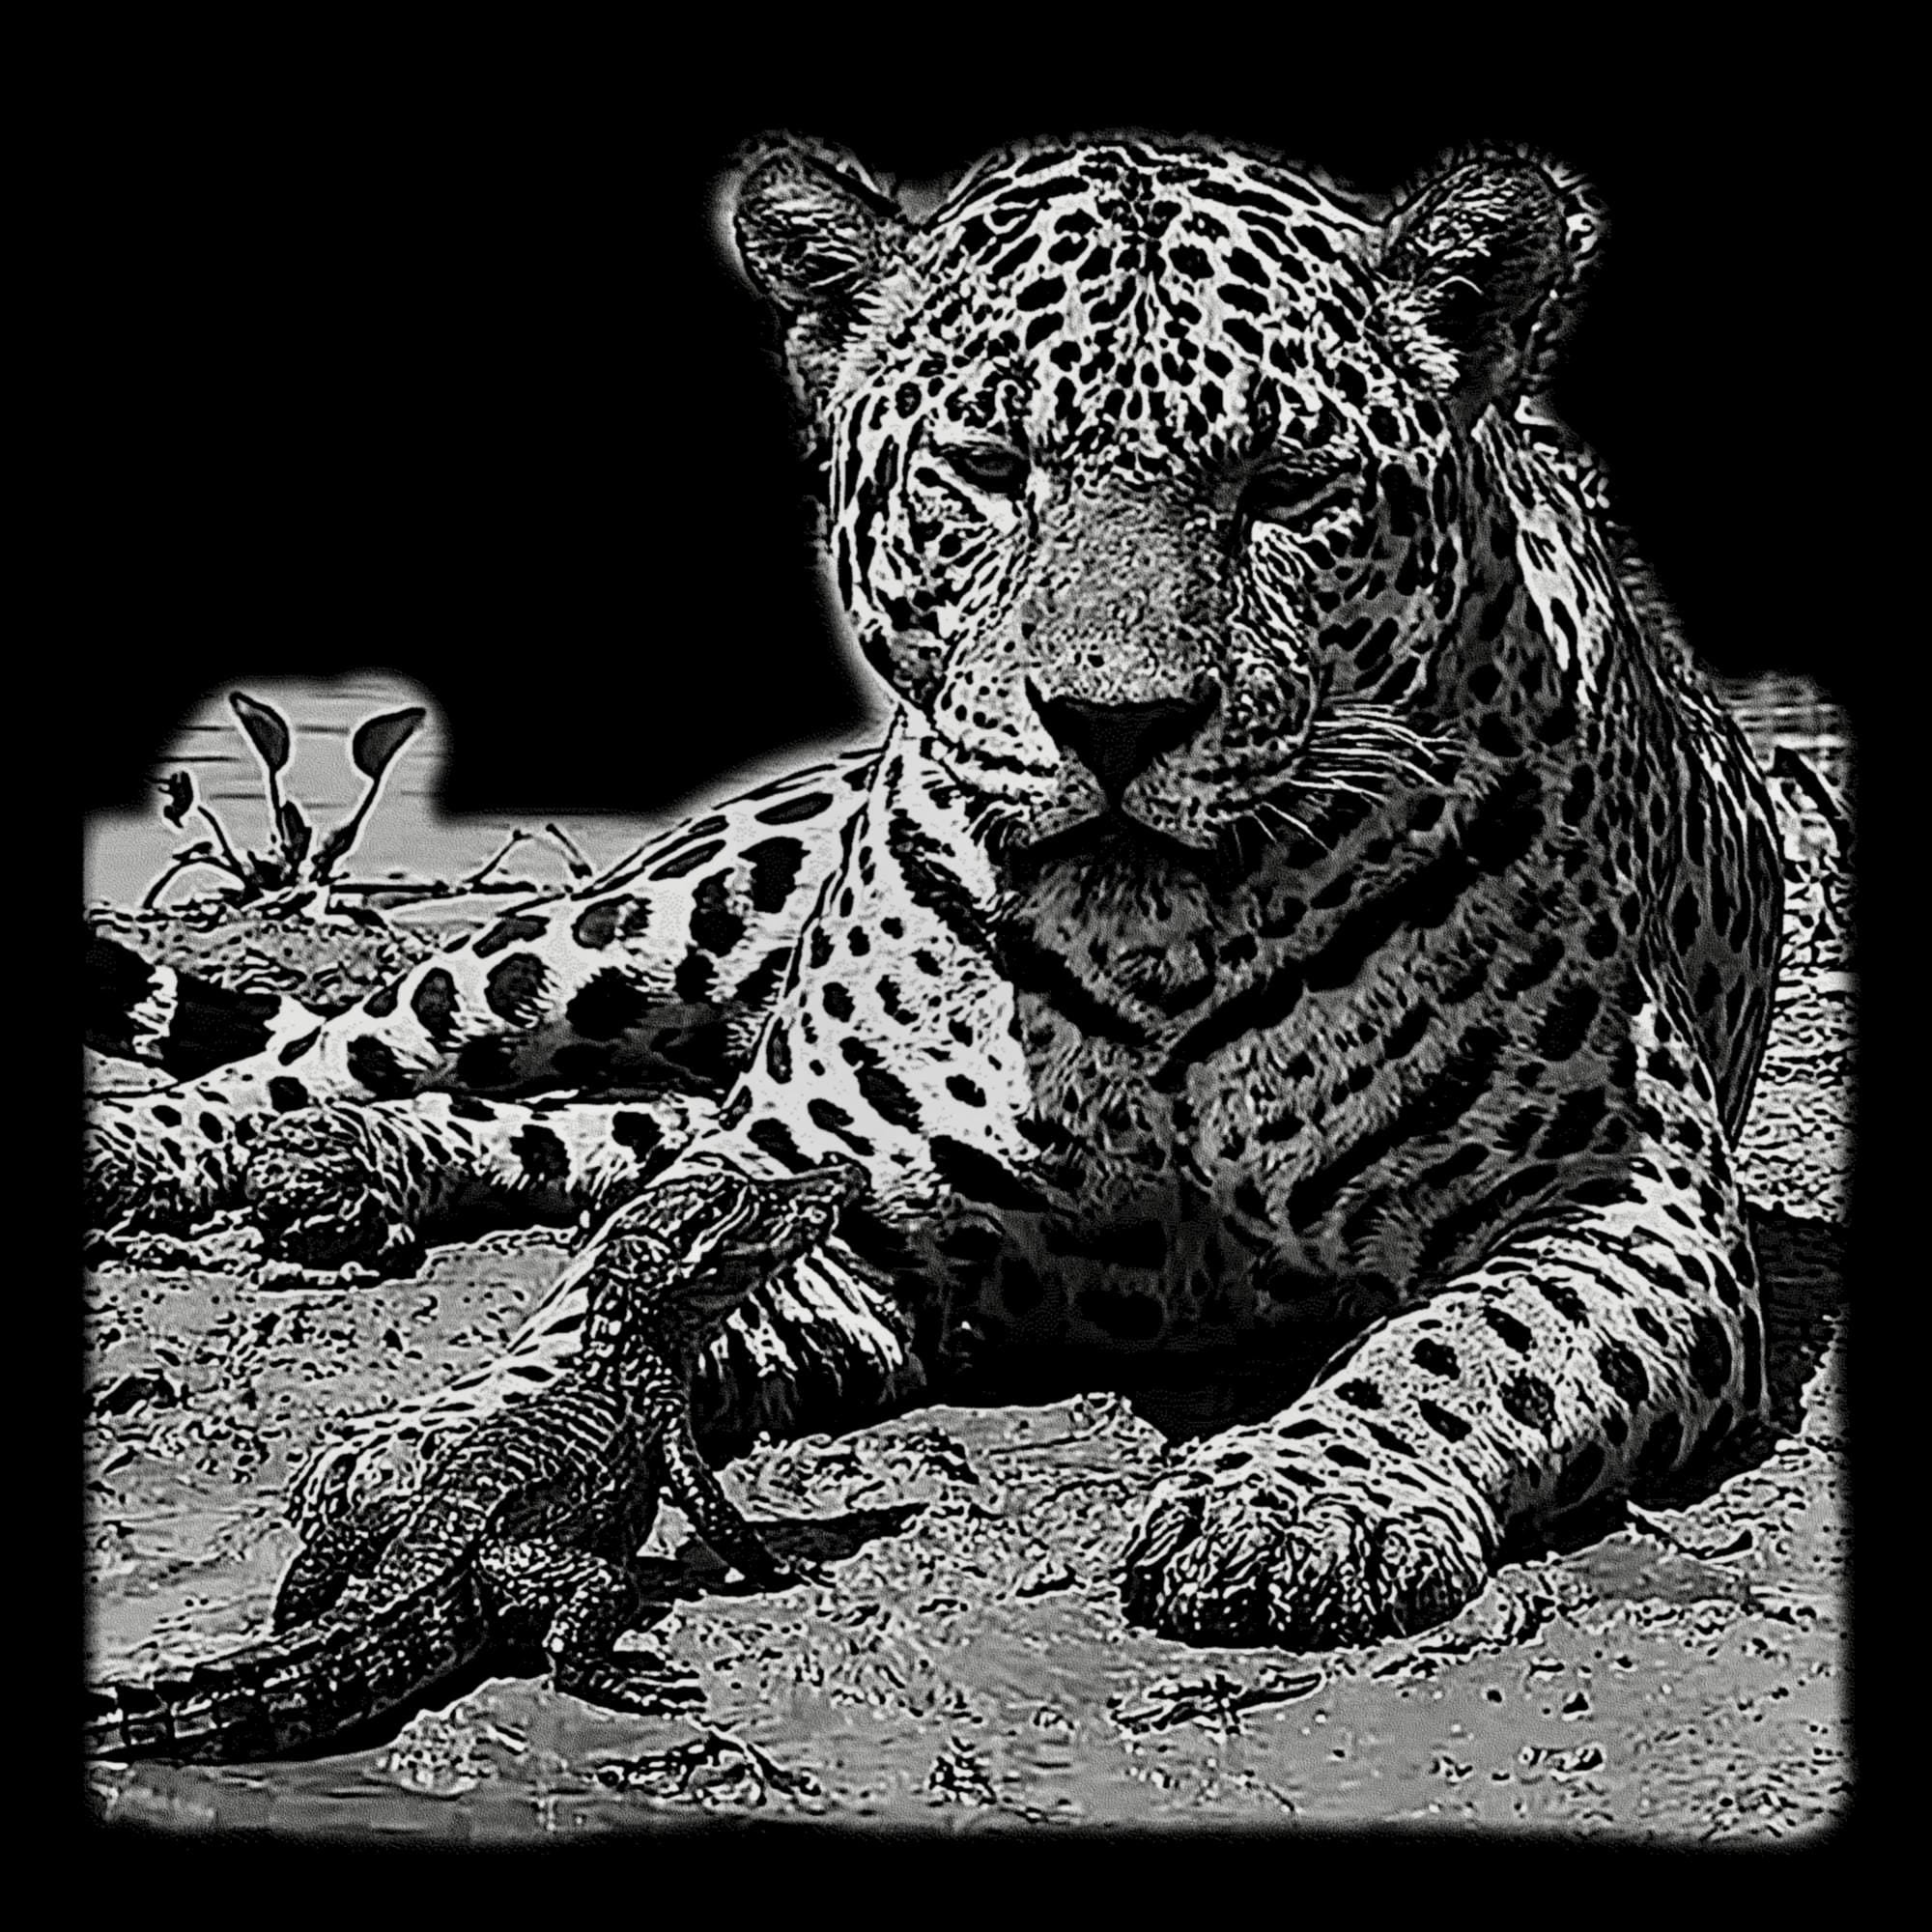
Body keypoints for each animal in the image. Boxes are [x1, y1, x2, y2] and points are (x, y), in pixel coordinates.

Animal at [86, 130, 1787, 1650]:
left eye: (1288, 488)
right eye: (989, 470)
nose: (1117, 721)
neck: (1159, 942)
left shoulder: (1620, 1202)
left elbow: (1461, 1343)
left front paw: (1302, 1499)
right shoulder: (828, 1191)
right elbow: (603, 1297)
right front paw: (466, 1444)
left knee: (602, 1125)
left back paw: (350, 1166)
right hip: (670, 914)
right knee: (360, 1041)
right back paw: (182, 1144)